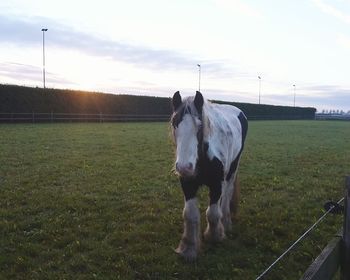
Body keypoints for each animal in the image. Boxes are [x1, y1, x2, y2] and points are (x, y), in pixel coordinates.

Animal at [170, 91, 247, 260]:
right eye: (174, 123)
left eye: (199, 125)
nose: (184, 167)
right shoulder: (188, 184)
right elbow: (190, 214)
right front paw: (189, 248)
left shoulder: (216, 184)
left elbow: (212, 213)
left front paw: (214, 236)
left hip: (232, 169)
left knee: (227, 194)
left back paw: (226, 222)